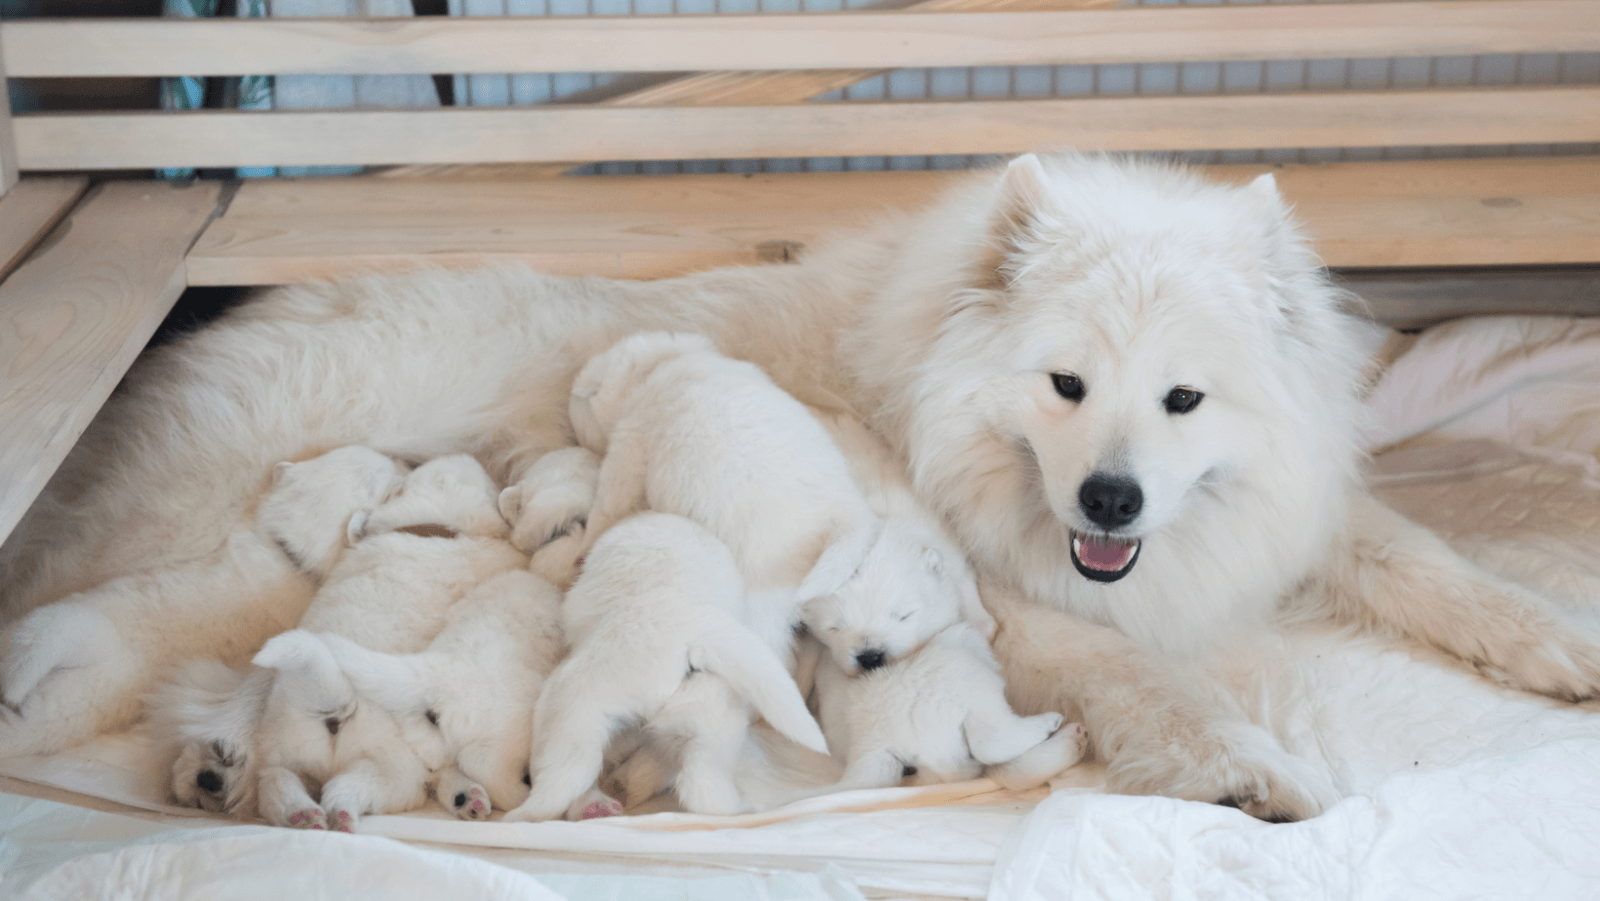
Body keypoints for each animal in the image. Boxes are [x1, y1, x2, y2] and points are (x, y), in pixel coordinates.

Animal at [505, 512, 832, 819]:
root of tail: (692, 634)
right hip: (711, 719)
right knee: (703, 784)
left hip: (571, 706)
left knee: (560, 784)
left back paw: (528, 815)